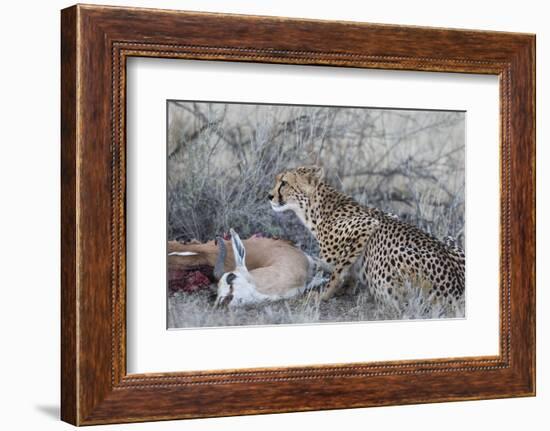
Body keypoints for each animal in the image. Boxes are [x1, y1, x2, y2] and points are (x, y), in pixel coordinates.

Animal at [268, 165, 466, 308]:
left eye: (284, 183)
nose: (269, 196)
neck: (315, 209)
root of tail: (456, 288)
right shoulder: (389, 216)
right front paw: (347, 287)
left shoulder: (368, 224)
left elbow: (337, 271)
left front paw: (324, 294)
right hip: (449, 240)